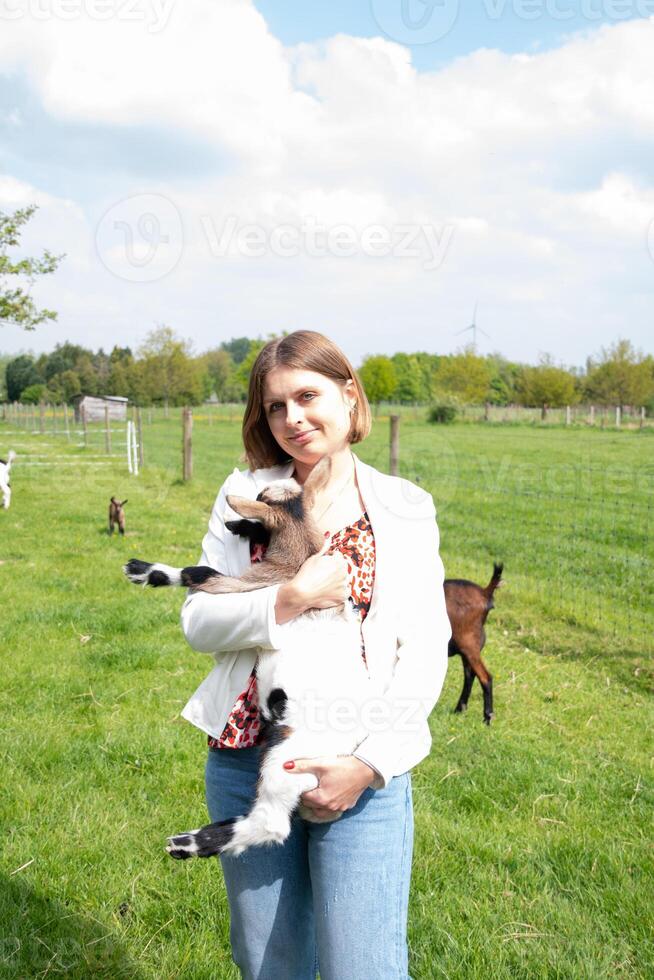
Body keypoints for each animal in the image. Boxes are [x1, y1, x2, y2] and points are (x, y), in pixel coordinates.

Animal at [124, 456, 380, 860]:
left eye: (259, 501)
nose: (233, 522)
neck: (300, 558)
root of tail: (346, 752)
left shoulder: (251, 584)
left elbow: (201, 573)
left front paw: (143, 571)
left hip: (287, 759)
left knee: (272, 823)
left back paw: (188, 844)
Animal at [444, 564, 504, 724]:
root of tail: (485, 593)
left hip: (468, 645)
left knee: (485, 677)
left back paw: (487, 717)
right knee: (470, 675)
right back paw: (460, 709)